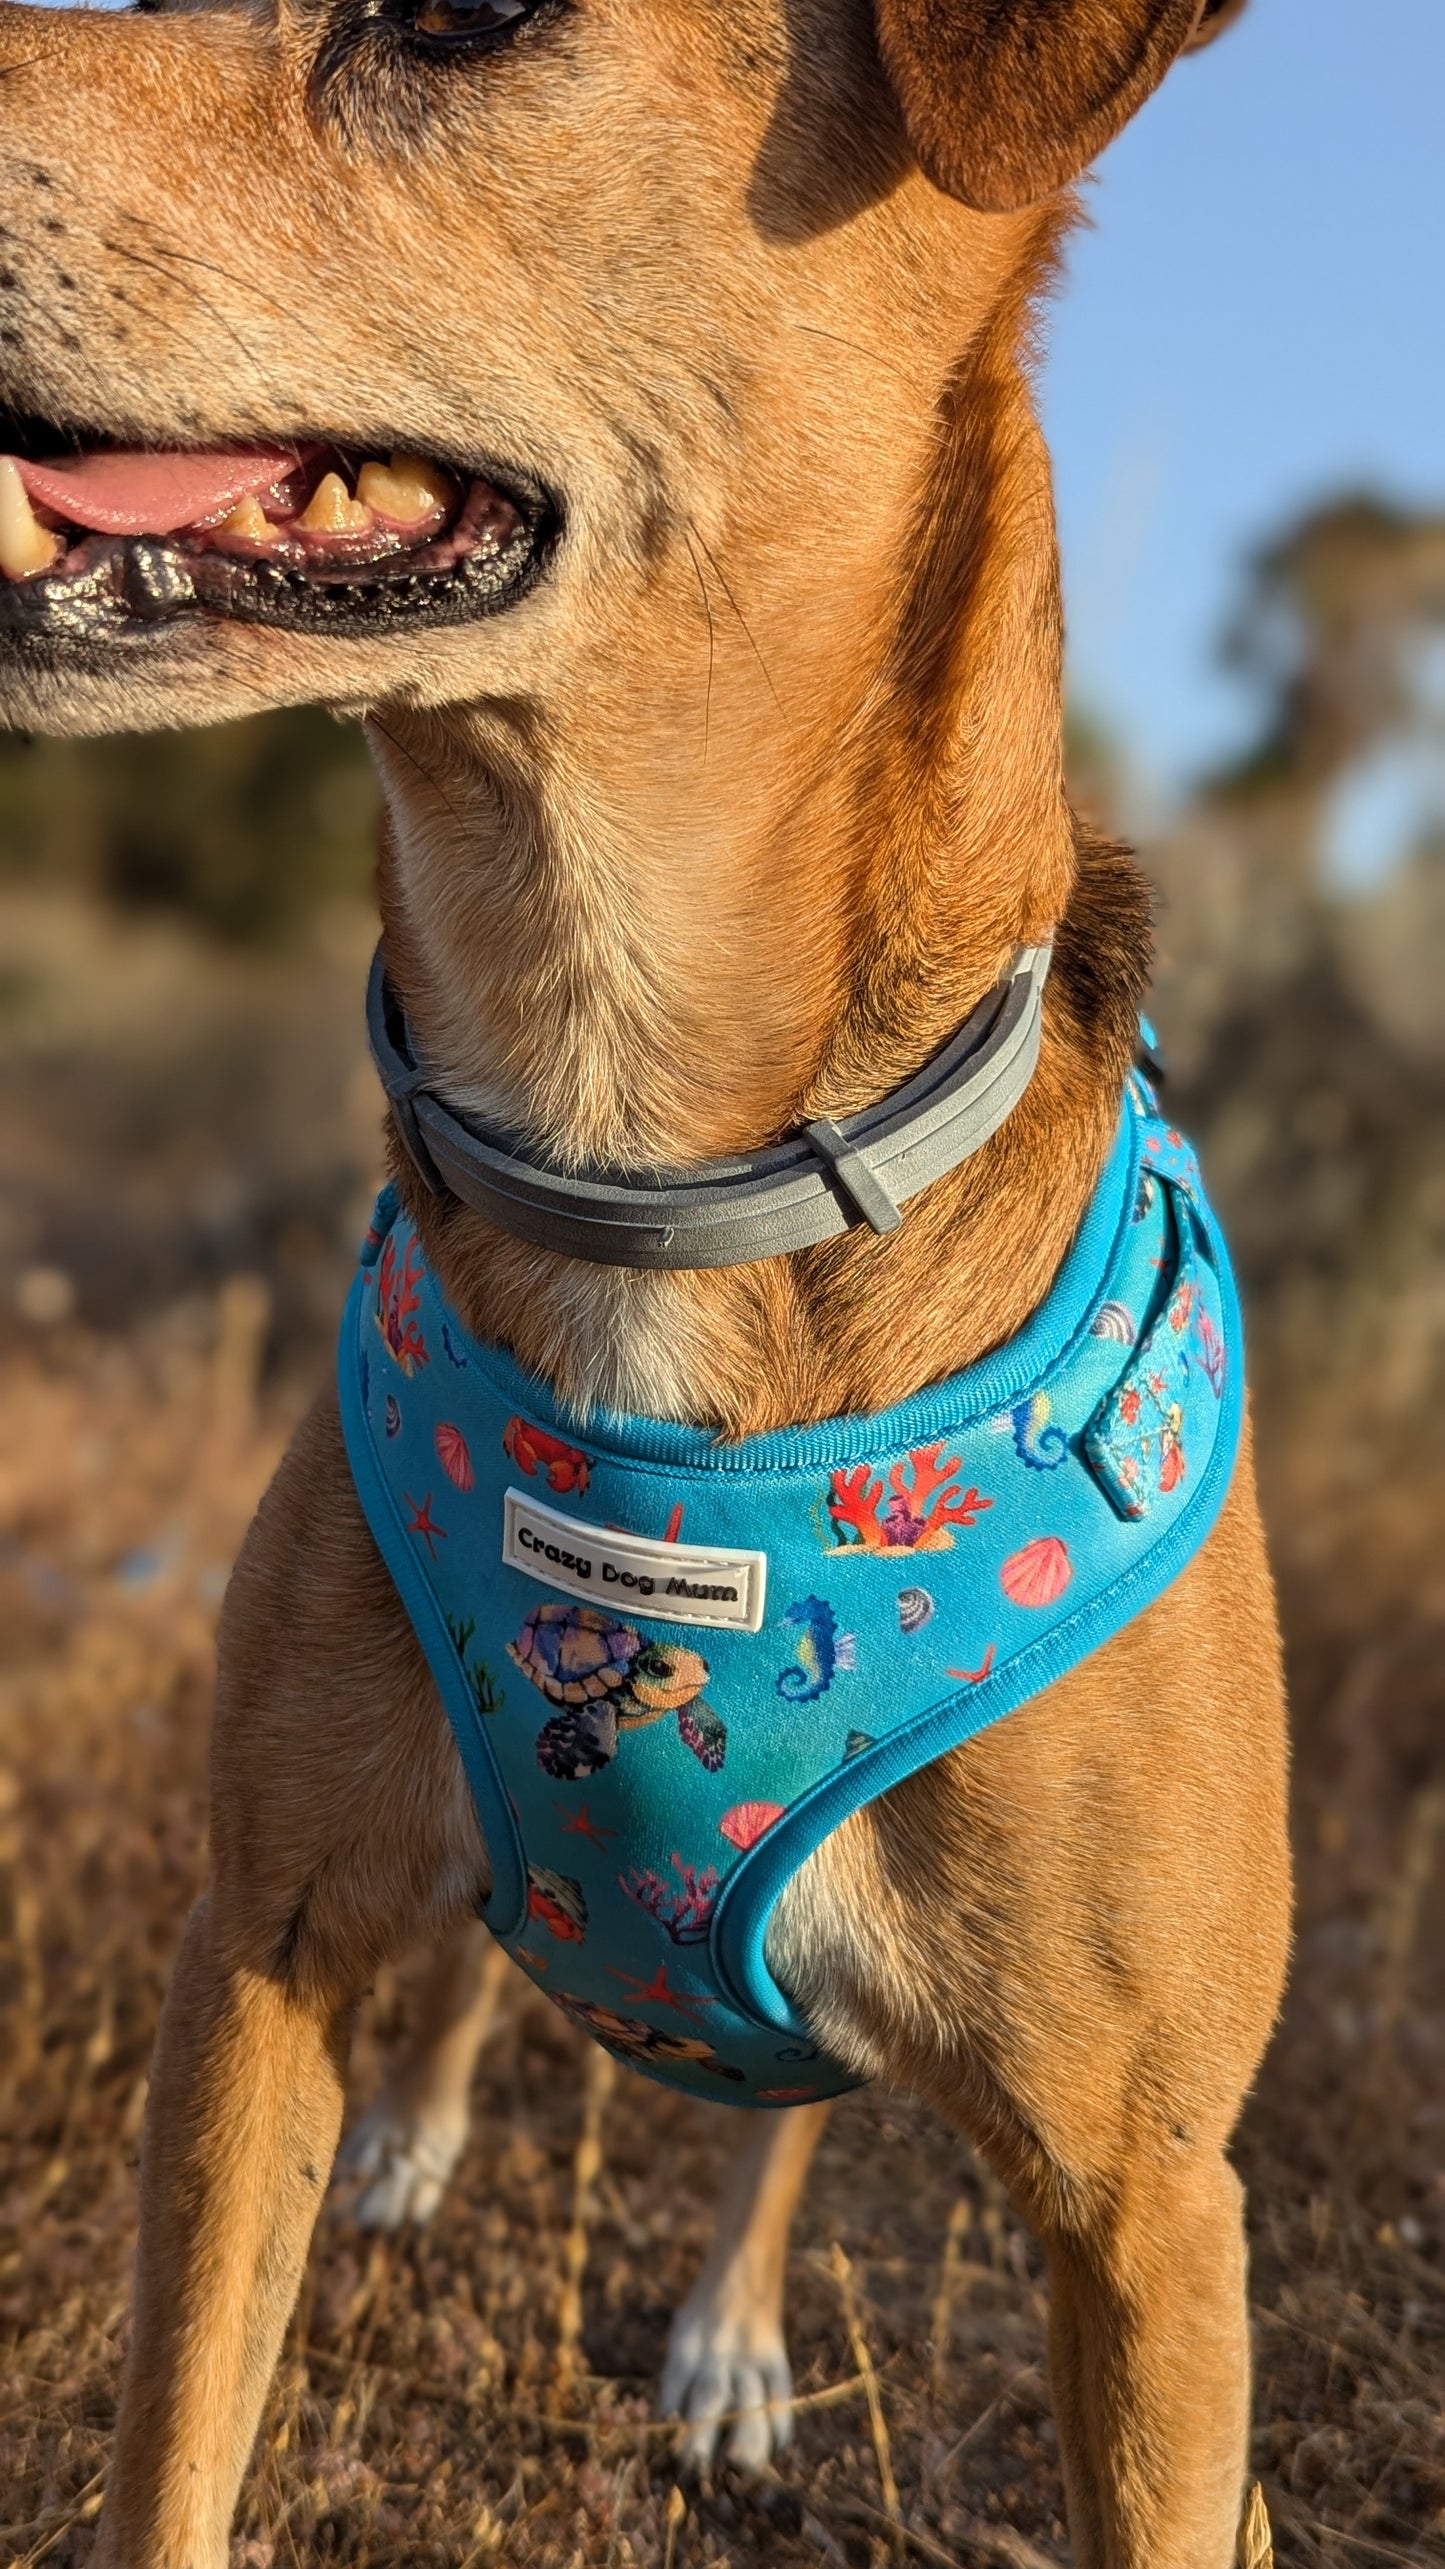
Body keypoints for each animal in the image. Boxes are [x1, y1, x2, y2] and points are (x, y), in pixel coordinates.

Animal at [0, 0, 1280, 2558]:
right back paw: (426, 2131)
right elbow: (175, 2450)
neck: (630, 1160)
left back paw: (724, 2340)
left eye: (458, 19)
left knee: (775, 2121)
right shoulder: (250, 1955)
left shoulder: (1154, 2218)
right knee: (496, 1966)